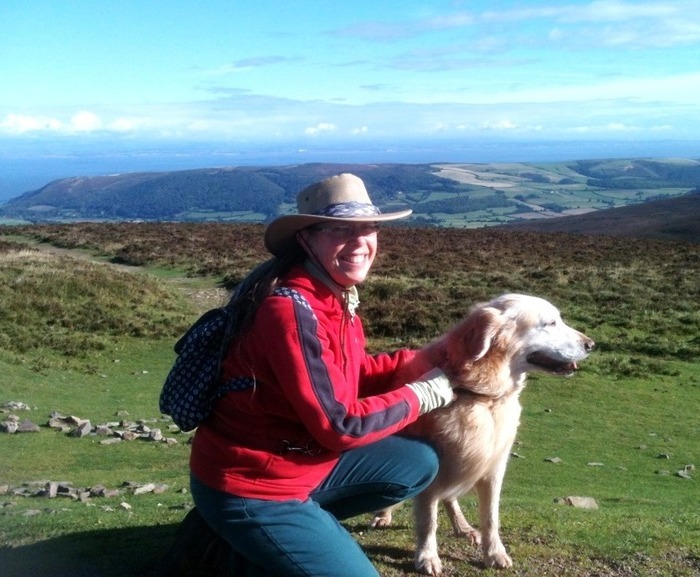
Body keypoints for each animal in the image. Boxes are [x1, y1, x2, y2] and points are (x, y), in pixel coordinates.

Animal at [372, 293, 595, 575]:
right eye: (550, 323)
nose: (591, 344)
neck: (483, 396)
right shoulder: (433, 473)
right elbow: (428, 521)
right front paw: (427, 556)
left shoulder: (494, 467)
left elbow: (491, 518)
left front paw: (494, 553)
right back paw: (383, 514)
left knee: (450, 499)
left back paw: (463, 527)